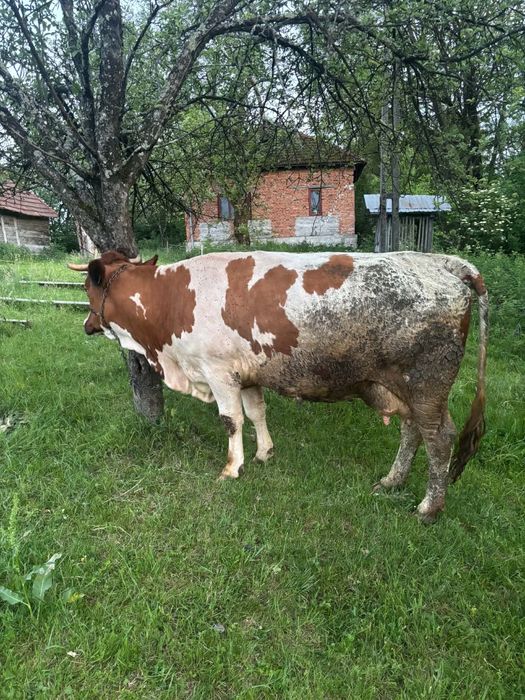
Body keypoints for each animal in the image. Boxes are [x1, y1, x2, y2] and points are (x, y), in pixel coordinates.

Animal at [68, 249, 488, 523]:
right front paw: (264, 453)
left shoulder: (218, 371)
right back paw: (392, 480)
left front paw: (232, 467)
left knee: (439, 439)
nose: (87, 324)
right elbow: (256, 412)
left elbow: (231, 421)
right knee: (411, 431)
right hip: (402, 387)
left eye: (87, 289)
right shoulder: (246, 373)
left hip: (426, 384)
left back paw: (429, 508)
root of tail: (443, 262)